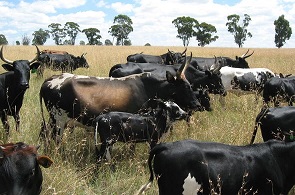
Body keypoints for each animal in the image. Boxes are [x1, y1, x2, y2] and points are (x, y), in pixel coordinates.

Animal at [39, 56, 201, 145]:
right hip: (59, 121)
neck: (148, 87)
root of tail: (50, 80)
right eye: (184, 87)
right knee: (55, 139)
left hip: (53, 120)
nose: (197, 104)